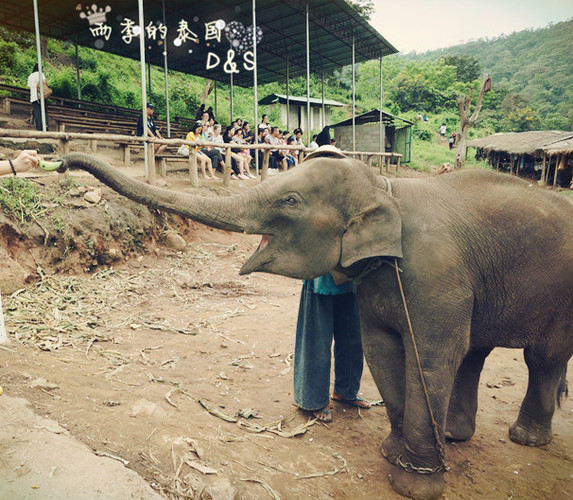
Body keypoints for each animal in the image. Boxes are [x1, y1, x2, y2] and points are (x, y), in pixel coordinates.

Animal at [59, 150, 572, 498]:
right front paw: (393, 455)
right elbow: (382, 351)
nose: (61, 165)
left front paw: (413, 485)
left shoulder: (435, 277)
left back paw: (524, 439)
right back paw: (454, 436)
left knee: (541, 356)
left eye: (289, 200)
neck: (386, 188)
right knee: (477, 351)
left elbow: (428, 359)